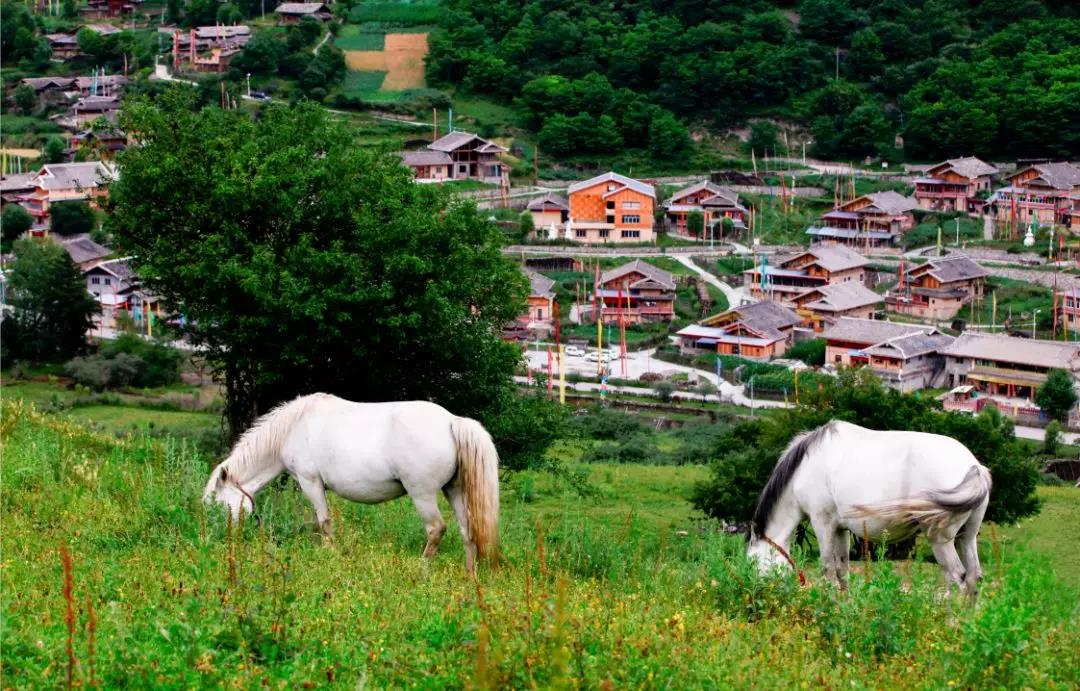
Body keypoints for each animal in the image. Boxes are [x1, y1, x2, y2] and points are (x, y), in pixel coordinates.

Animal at [204, 393, 498, 570]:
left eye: (217, 505)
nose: (218, 539)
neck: (293, 428)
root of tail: (452, 421)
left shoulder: (310, 483)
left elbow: (324, 522)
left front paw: (329, 555)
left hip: (422, 494)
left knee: (436, 529)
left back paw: (422, 568)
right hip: (454, 491)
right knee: (467, 530)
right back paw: (469, 574)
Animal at [747, 418, 989, 591]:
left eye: (754, 565)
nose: (757, 595)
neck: (805, 467)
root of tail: (975, 467)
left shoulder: (822, 523)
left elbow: (827, 569)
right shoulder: (841, 528)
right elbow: (842, 571)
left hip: (940, 539)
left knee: (956, 579)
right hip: (967, 537)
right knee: (973, 578)